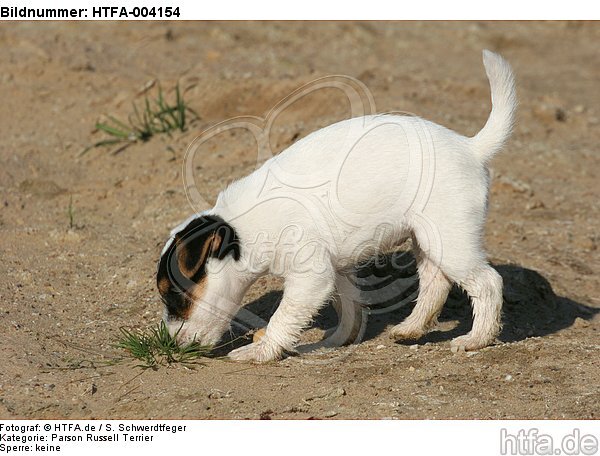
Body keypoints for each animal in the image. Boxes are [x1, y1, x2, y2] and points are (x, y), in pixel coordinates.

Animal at [158, 50, 516, 362]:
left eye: (174, 295)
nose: (171, 346)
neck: (243, 228)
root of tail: (471, 147)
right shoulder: (337, 270)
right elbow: (350, 310)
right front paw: (338, 341)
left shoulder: (310, 277)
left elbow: (283, 317)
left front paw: (261, 351)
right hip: (428, 239)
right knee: (435, 283)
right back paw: (411, 328)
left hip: (451, 240)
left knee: (488, 283)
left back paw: (476, 339)